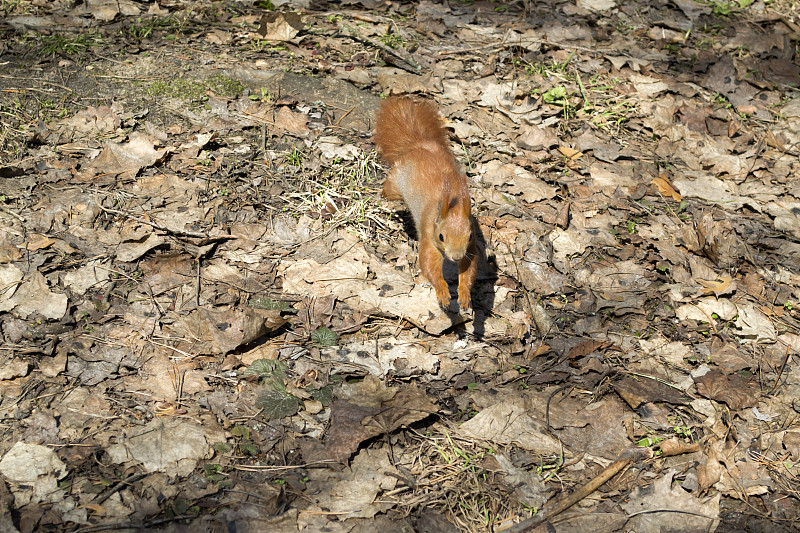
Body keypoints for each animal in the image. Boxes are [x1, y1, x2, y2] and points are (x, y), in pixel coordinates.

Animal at [374, 97, 478, 310]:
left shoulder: (470, 246)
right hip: (395, 184)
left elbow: (470, 267)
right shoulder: (429, 234)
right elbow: (429, 263)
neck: (453, 202)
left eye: (470, 235)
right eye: (441, 236)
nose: (456, 257)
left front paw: (464, 293)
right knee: (389, 190)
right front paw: (443, 291)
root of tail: (417, 144)